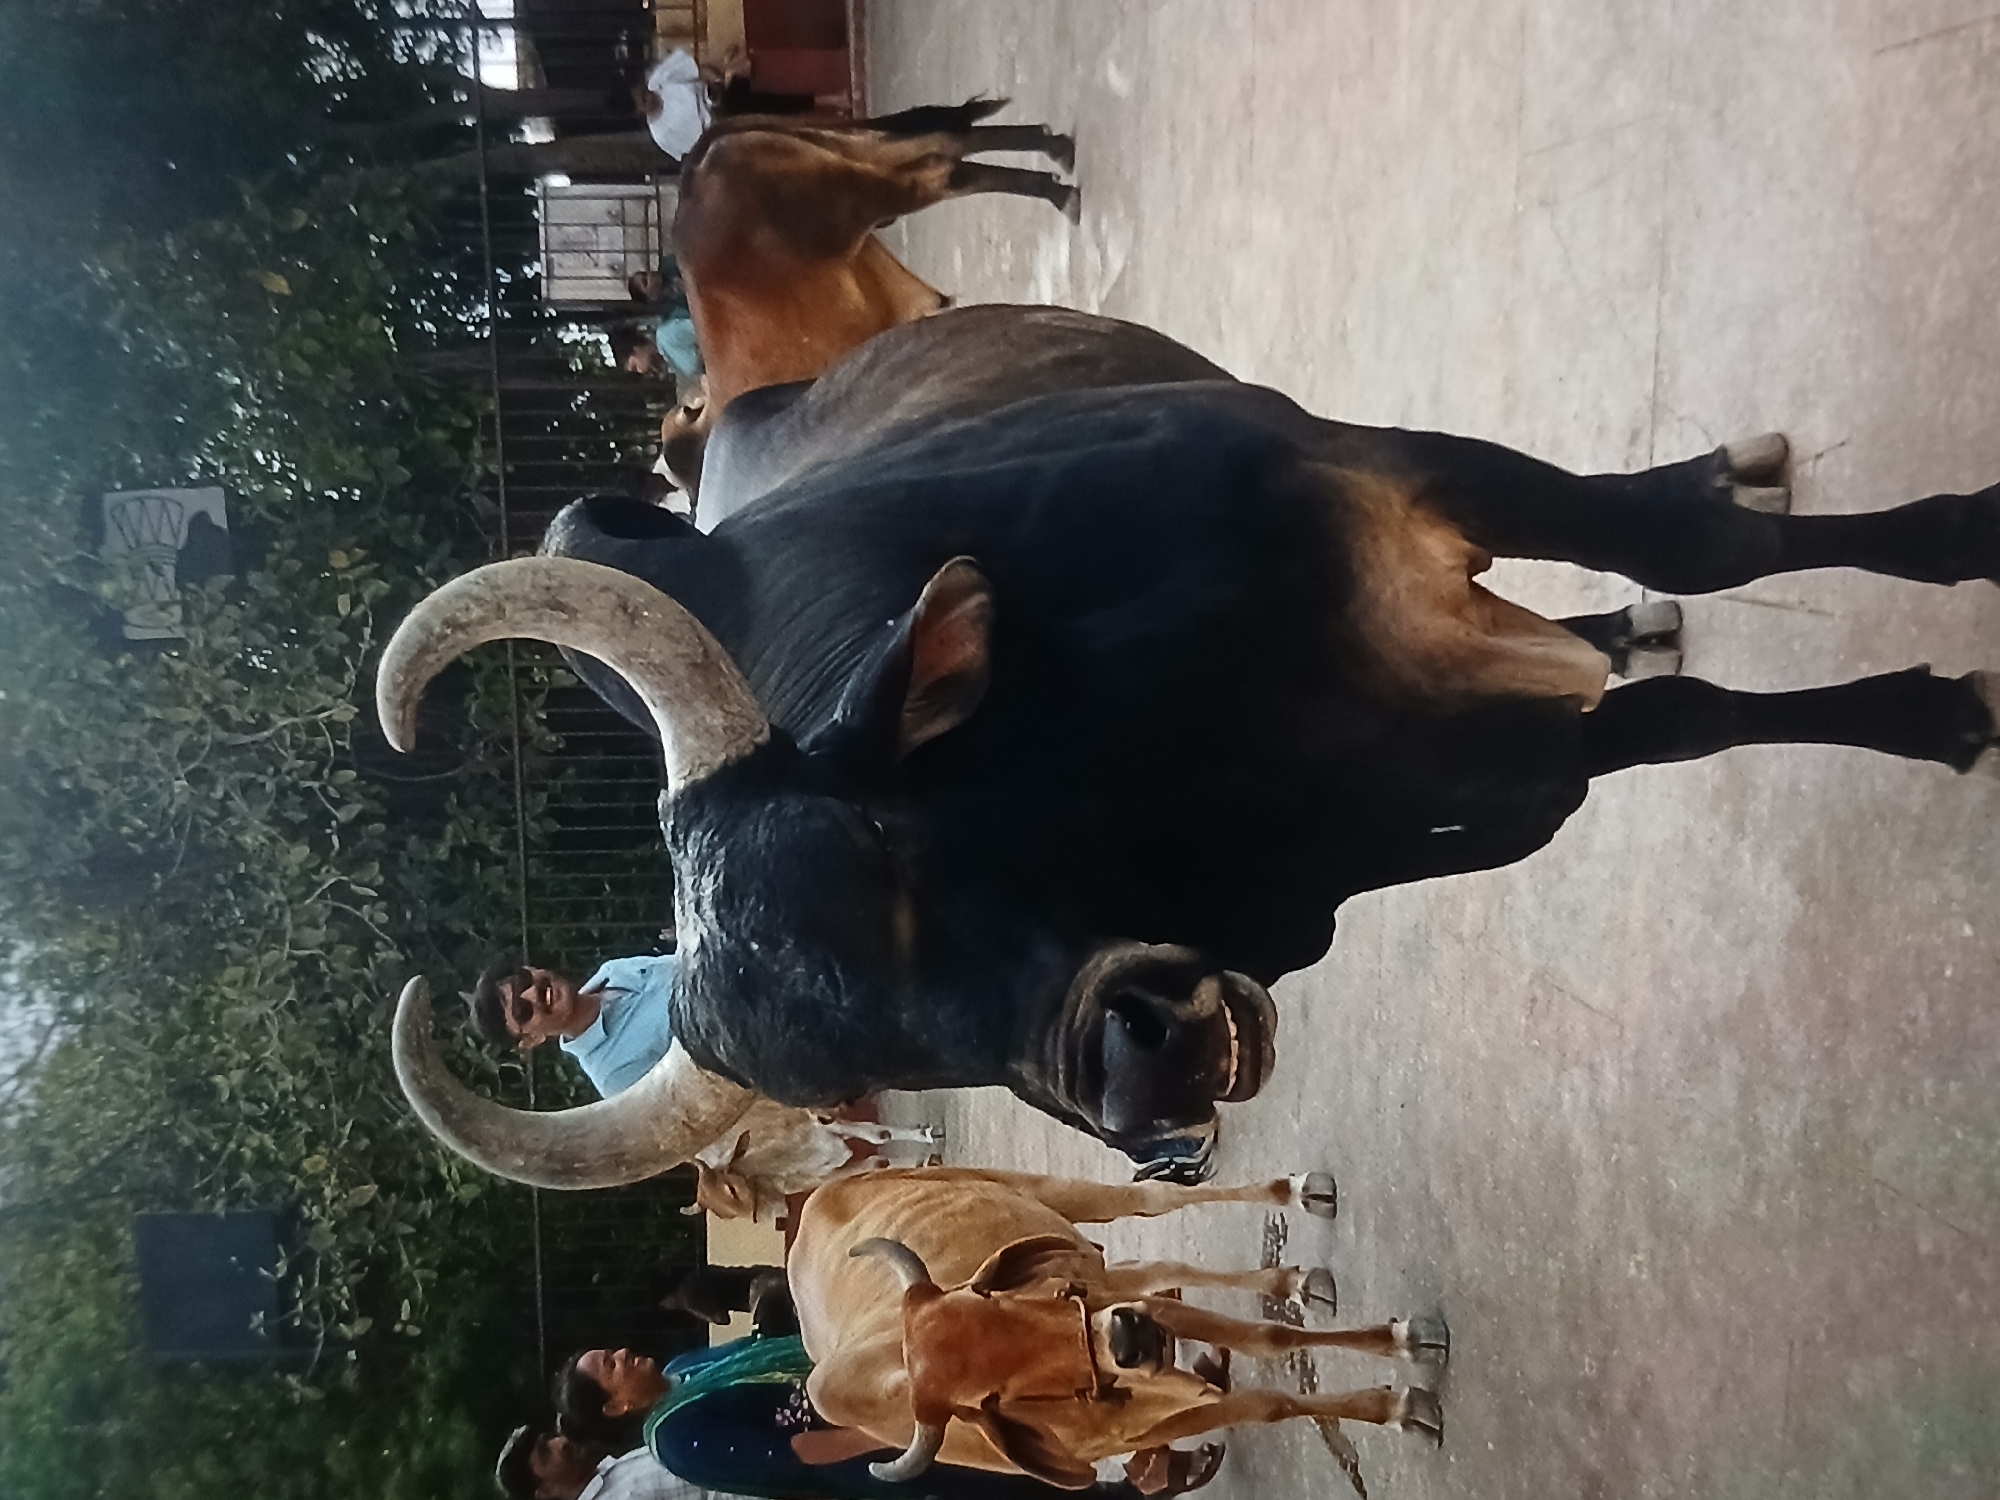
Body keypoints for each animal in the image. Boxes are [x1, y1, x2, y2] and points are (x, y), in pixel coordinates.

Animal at [378, 303, 2000, 1189]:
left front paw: (1952, 615)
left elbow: (1703, 552)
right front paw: (1927, 707)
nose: (1134, 1061)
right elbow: (1668, 724)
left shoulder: (1401, 476)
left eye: (885, 843)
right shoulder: (1420, 822)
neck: (1177, 737)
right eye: (892, 1063)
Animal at [661, 100, 1076, 495]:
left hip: (856, 192)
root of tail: (695, 170)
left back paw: (1060, 191)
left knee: (938, 169)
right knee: (941, 140)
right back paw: (1055, 150)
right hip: (851, 150)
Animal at [787, 1165, 1444, 1485]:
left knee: (1154, 1204)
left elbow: (1271, 1337)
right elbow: (1267, 1403)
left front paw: (1403, 1349)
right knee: (1163, 1266)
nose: (1130, 1339)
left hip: (1063, 1211)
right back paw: (1288, 1283)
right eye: (990, 1400)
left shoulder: (1128, 1306)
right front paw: (1397, 1403)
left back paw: (1297, 1202)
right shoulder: (1159, 1409)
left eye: (1000, 1296)